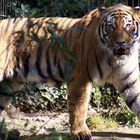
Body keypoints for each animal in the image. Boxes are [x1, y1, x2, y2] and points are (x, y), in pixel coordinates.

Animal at [0, 3, 140, 139]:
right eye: (111, 27)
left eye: (128, 25)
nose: (120, 43)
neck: (115, 59)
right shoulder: (80, 78)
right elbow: (79, 107)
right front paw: (80, 132)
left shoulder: (129, 80)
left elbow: (137, 99)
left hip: (8, 85)